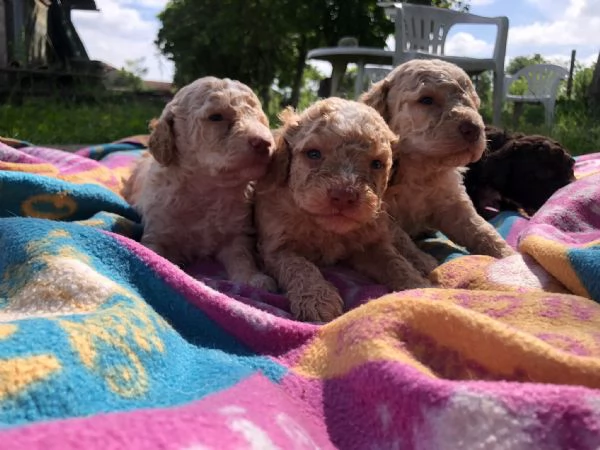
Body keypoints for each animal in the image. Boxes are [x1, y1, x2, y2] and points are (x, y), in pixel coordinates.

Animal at [126, 75, 278, 290]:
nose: (265, 143)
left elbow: (242, 255)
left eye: (260, 118)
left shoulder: (236, 234)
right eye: (216, 117)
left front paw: (253, 278)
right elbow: (158, 256)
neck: (208, 189)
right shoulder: (158, 231)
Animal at [255, 98, 434, 324]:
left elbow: (395, 261)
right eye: (313, 154)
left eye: (377, 163)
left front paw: (418, 286)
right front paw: (318, 299)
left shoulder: (371, 243)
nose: (344, 195)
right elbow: (298, 265)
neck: (328, 230)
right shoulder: (275, 247)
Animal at [360, 59, 516, 260]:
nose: (474, 129)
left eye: (474, 103)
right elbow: (401, 240)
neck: (420, 167)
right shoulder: (381, 212)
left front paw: (510, 256)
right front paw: (423, 260)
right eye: (427, 100)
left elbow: (481, 228)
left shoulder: (452, 202)